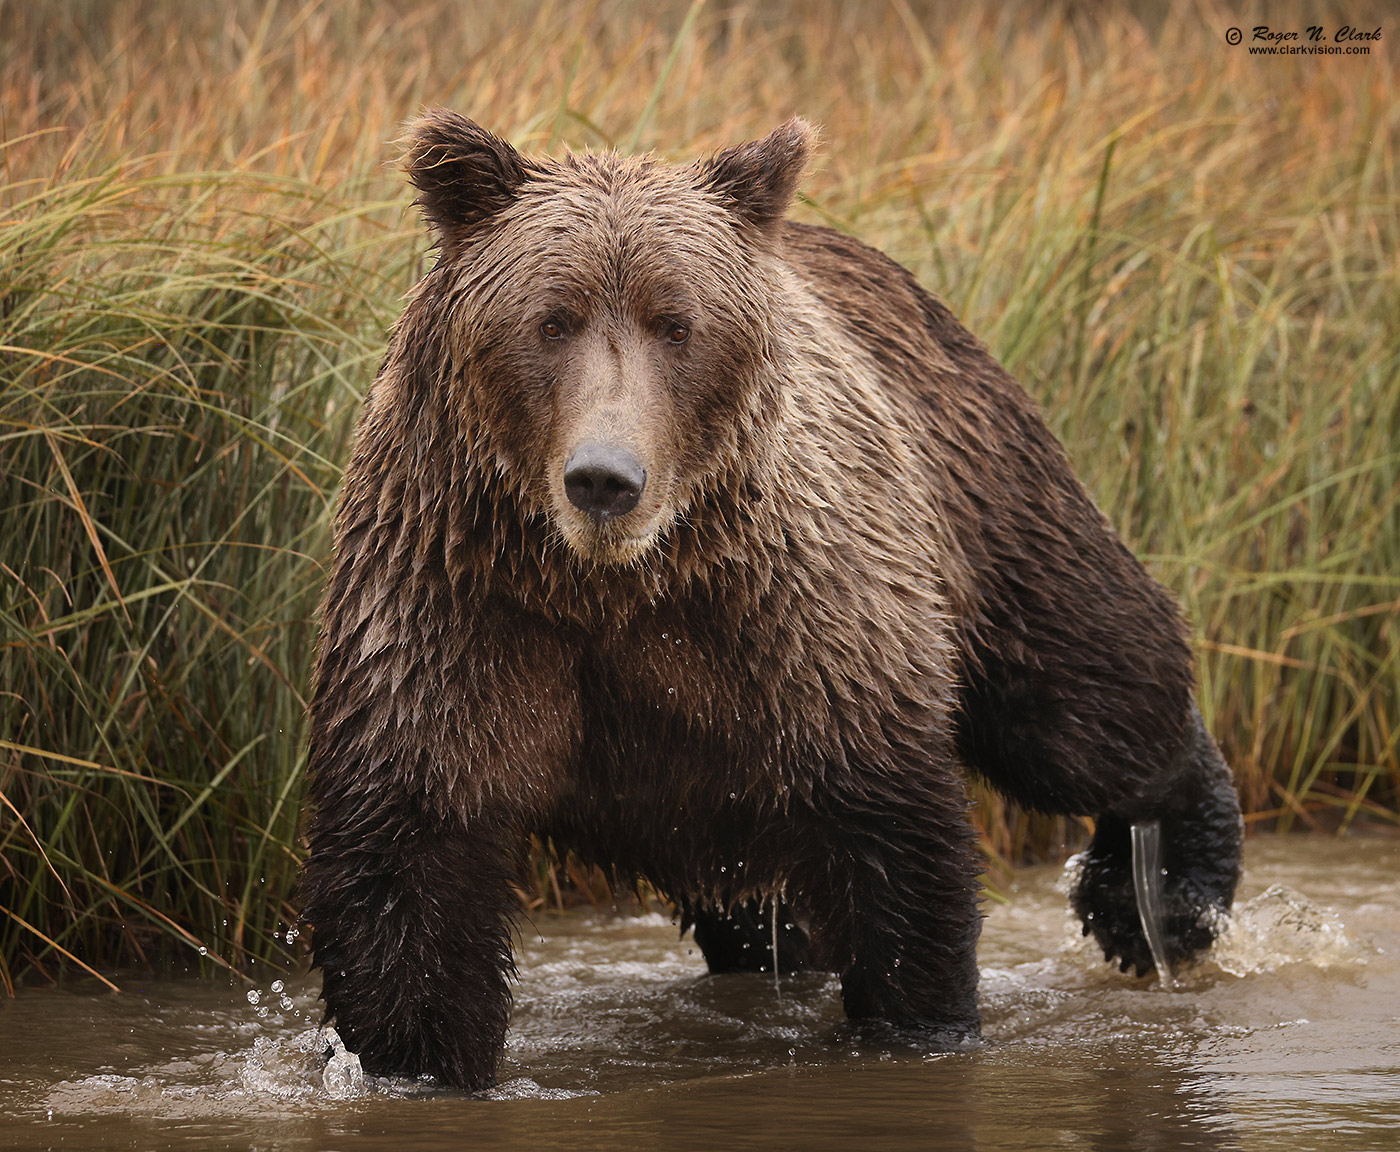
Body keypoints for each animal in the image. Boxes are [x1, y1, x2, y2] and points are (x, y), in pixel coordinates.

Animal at [301, 112, 1243, 1097]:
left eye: (677, 324)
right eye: (550, 319)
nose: (604, 479)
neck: (613, 586)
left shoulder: (797, 623)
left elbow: (894, 838)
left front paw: (922, 1023)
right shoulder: (456, 610)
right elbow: (412, 865)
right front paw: (412, 1064)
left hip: (982, 488)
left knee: (1081, 696)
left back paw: (1164, 892)